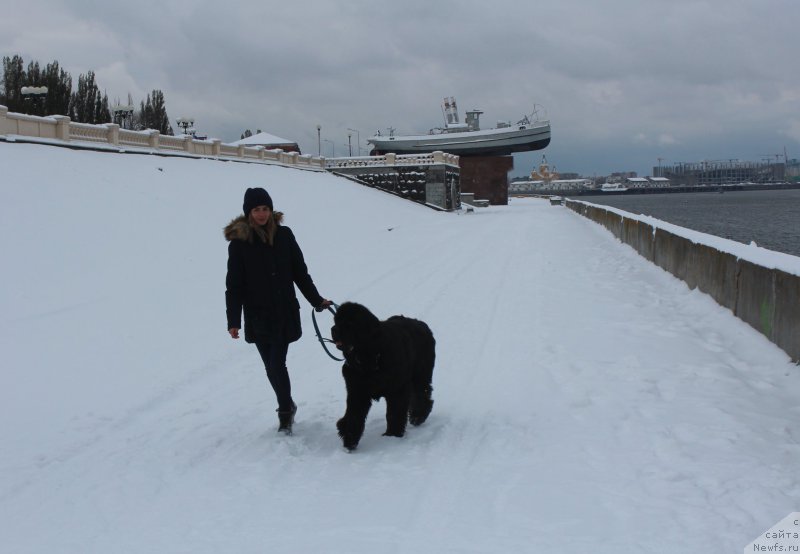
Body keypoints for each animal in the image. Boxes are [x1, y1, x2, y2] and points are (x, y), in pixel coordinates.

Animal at [328, 302, 434, 448]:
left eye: (350, 323)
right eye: (336, 320)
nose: (333, 329)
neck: (370, 357)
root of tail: (422, 325)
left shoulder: (397, 389)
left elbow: (394, 413)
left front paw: (392, 435)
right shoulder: (357, 390)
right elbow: (354, 415)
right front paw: (350, 438)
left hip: (421, 373)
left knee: (422, 392)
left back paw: (418, 416)